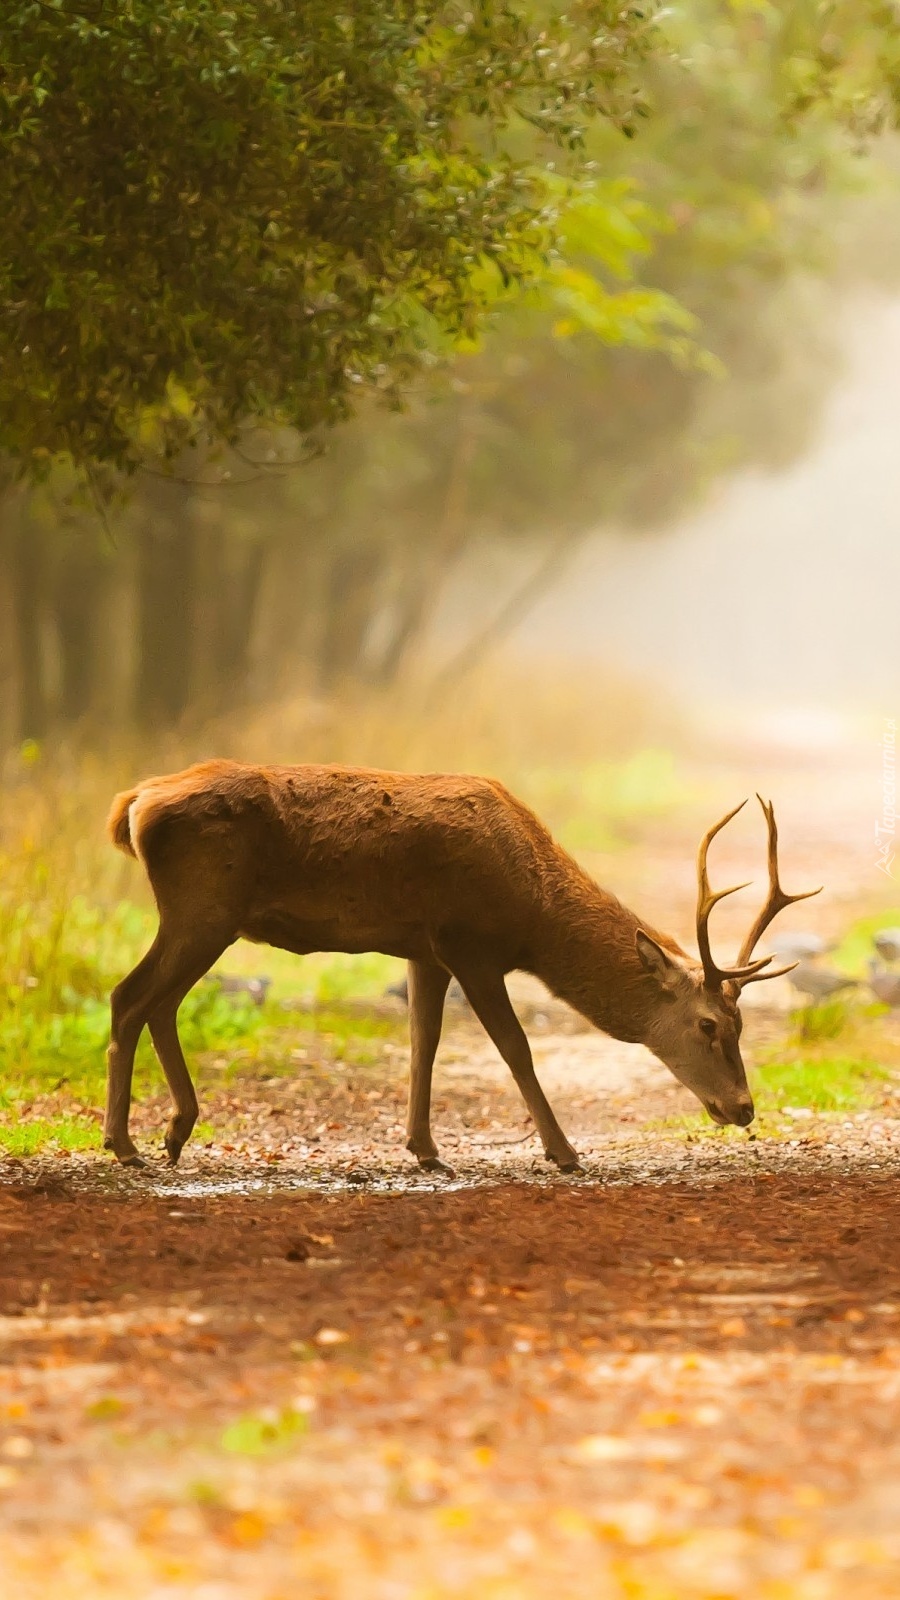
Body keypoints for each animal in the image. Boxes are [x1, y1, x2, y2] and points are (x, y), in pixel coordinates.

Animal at [101, 755, 816, 1171]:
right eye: (709, 1025)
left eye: (744, 1025)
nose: (743, 1108)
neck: (532, 914)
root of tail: (133, 803)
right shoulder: (470, 943)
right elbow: (515, 1048)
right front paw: (564, 1152)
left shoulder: (425, 950)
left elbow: (424, 1043)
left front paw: (425, 1151)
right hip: (204, 906)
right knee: (130, 997)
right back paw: (126, 1143)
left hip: (203, 917)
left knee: (155, 1002)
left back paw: (173, 1132)